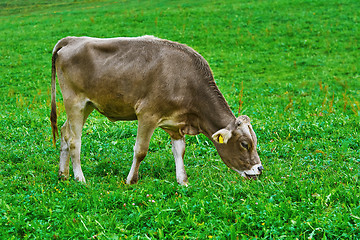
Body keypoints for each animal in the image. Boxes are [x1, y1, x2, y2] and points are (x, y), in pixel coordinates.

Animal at [50, 35, 262, 186]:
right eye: (244, 144)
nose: (259, 169)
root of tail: (73, 39)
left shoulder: (176, 124)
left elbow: (179, 151)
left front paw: (183, 181)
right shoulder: (147, 114)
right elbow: (140, 151)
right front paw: (131, 180)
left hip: (88, 105)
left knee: (65, 132)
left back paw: (63, 174)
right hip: (74, 102)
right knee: (75, 140)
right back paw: (80, 179)